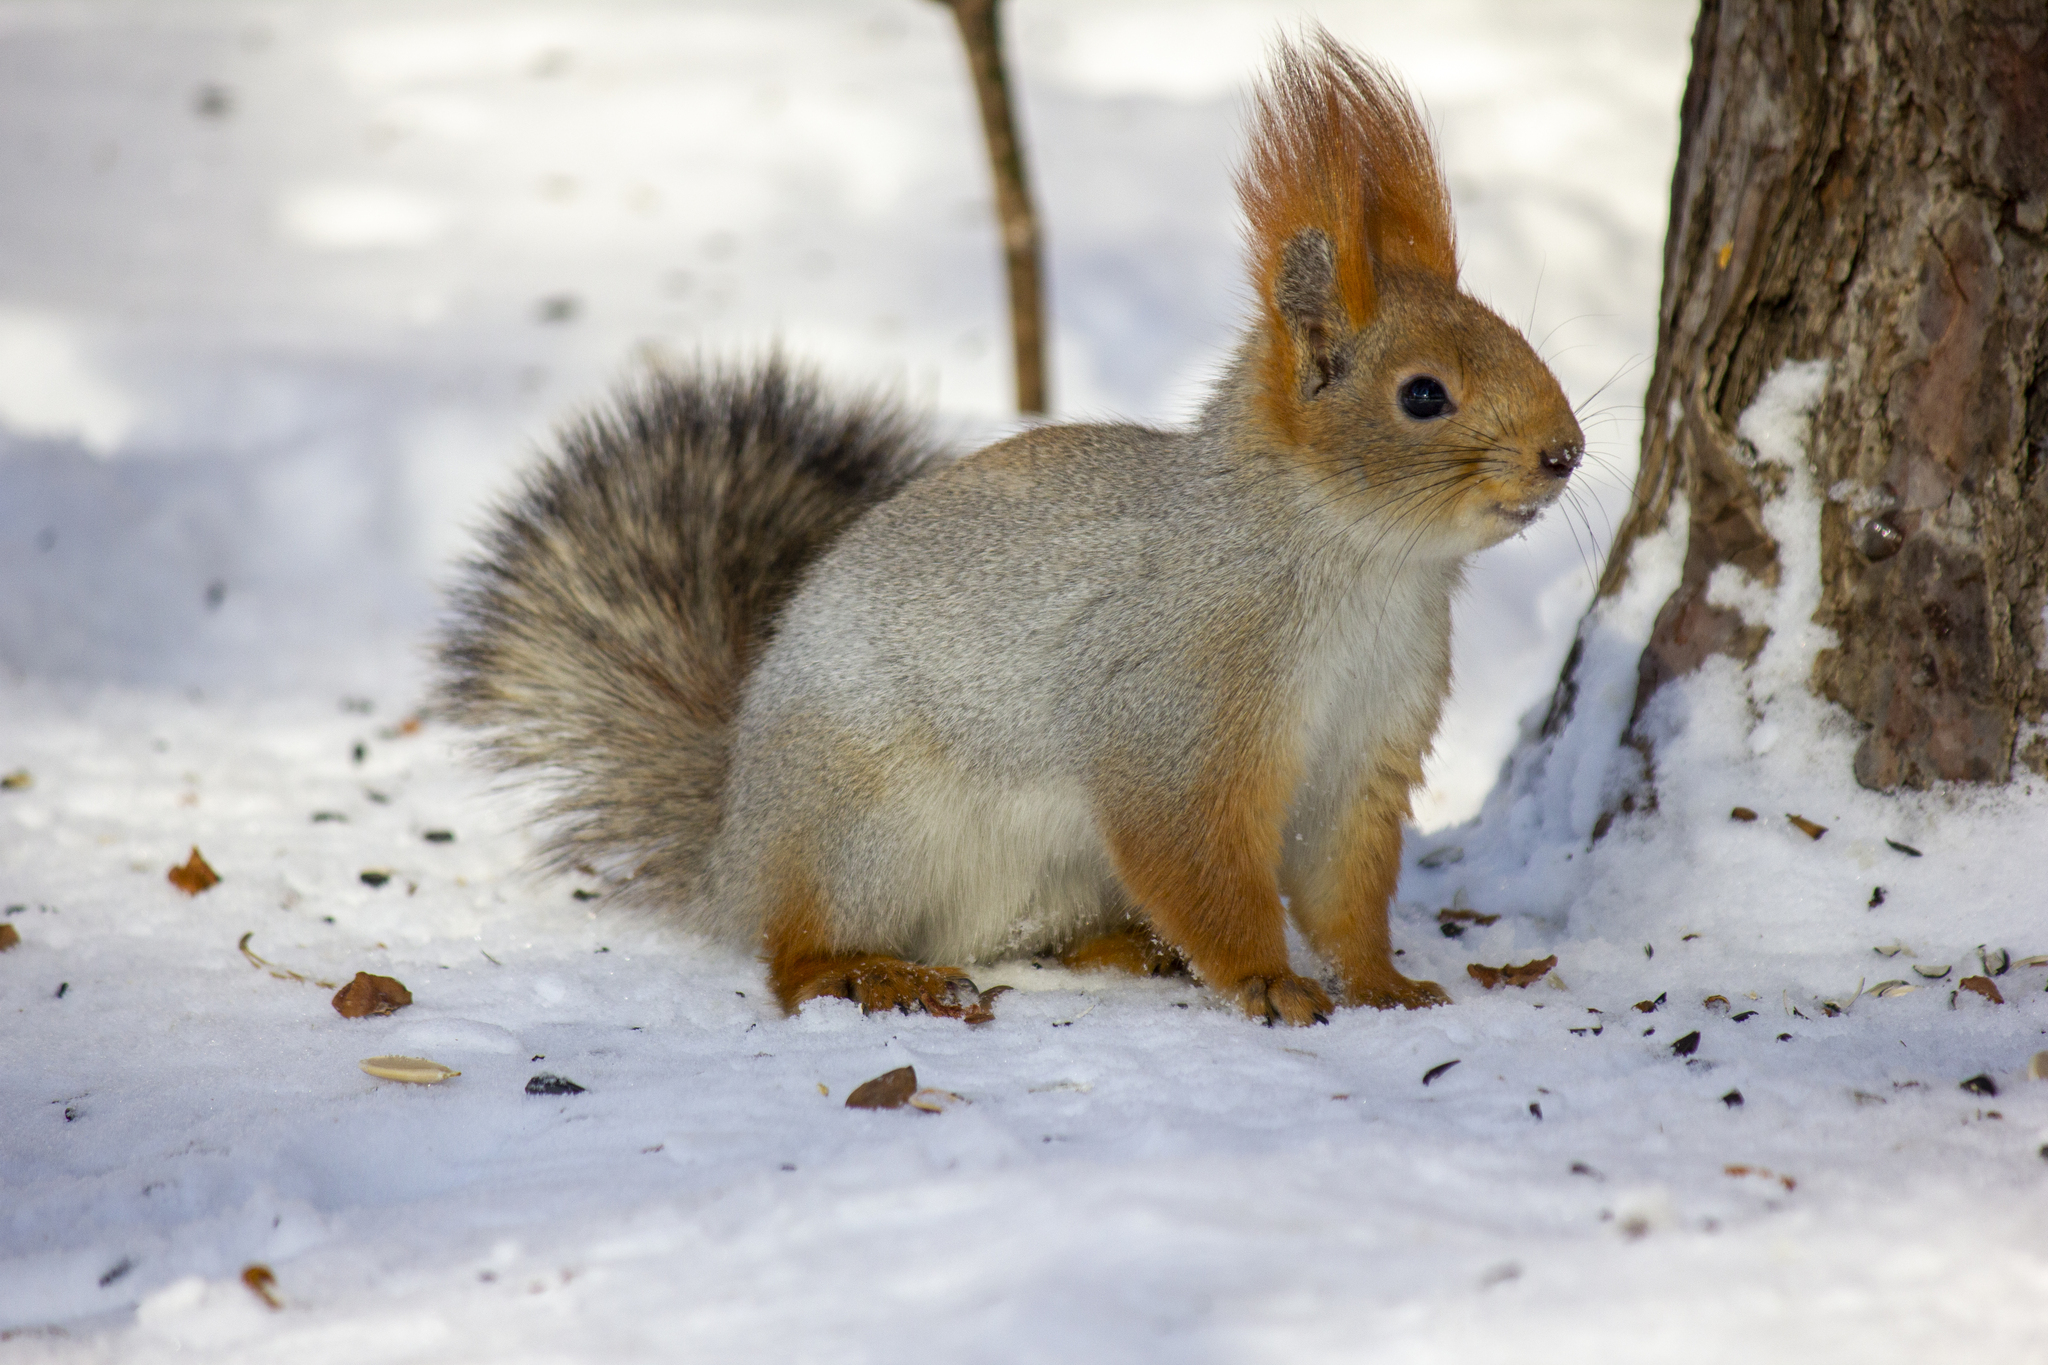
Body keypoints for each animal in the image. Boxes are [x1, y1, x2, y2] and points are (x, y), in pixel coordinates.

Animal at [436, 31, 1581, 1023]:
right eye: (1422, 396)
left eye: (1519, 340)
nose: (1564, 452)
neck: (1362, 565)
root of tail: (733, 848)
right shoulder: (1174, 718)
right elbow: (1200, 865)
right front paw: (1266, 980)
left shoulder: (1366, 756)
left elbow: (1345, 890)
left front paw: (1385, 986)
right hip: (866, 829)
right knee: (792, 951)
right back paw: (867, 973)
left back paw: (1123, 947)